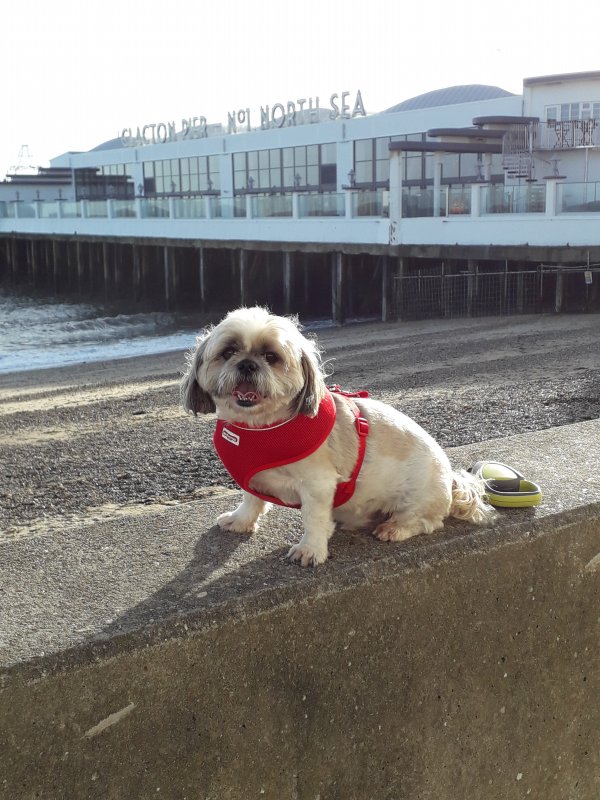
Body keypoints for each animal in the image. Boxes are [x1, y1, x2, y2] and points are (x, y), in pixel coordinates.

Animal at [181, 307, 494, 566]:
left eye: (271, 357)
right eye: (228, 352)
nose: (247, 364)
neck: (261, 427)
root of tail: (452, 479)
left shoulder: (317, 484)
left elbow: (314, 517)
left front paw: (310, 549)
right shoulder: (252, 474)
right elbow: (251, 499)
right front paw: (241, 520)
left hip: (418, 496)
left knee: (425, 521)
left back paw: (394, 528)